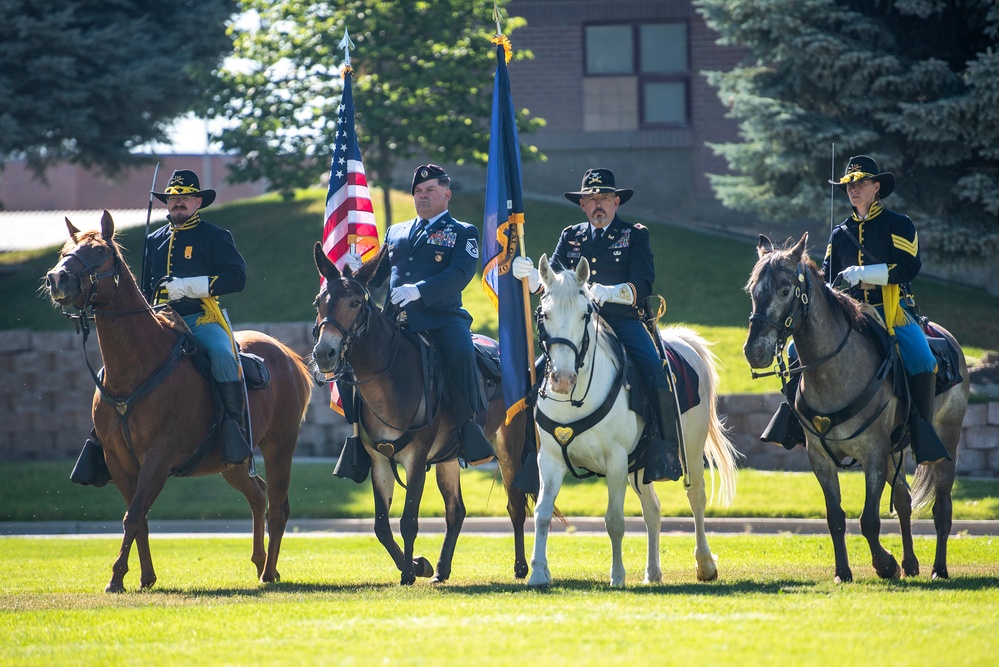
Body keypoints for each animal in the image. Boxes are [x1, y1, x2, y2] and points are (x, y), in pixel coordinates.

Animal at [45, 211, 312, 592]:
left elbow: (133, 514)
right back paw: (262, 562)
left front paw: (116, 577)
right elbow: (138, 517)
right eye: (65, 250)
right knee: (258, 495)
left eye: (99, 251)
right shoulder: (118, 460)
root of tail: (287, 355)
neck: (135, 368)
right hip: (231, 463)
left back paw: (268, 573)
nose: (57, 279)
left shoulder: (158, 456)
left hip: (280, 445)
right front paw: (143, 576)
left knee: (277, 507)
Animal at [312, 244, 532, 584]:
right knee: (456, 511)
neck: (390, 376)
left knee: (516, 504)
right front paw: (417, 565)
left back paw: (521, 567)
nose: (325, 353)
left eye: (354, 302)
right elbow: (381, 525)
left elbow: (408, 521)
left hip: (508, 445)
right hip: (448, 458)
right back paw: (441, 569)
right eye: (319, 302)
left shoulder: (416, 460)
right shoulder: (379, 460)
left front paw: (407, 573)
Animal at [532, 258, 744, 588]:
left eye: (584, 313)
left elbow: (615, 520)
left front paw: (617, 576)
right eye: (544, 314)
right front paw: (539, 572)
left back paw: (705, 564)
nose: (562, 379)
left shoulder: (616, 461)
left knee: (696, 498)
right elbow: (542, 513)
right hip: (642, 465)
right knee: (653, 510)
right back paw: (653, 571)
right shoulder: (550, 460)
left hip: (690, 452)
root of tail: (682, 342)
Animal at [752, 237, 968, 580]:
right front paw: (843, 571)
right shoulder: (821, 459)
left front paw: (886, 564)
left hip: (947, 440)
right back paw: (911, 563)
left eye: (785, 290)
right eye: (752, 291)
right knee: (903, 500)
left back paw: (939, 568)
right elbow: (836, 518)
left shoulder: (873, 454)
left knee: (942, 508)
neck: (834, 372)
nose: (754, 351)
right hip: (895, 451)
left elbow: (868, 519)